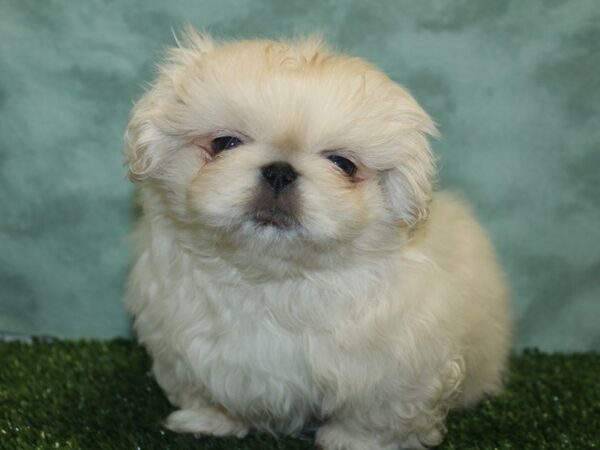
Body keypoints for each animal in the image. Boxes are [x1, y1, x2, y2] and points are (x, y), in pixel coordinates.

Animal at [125, 29, 510, 450]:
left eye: (343, 165)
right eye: (224, 143)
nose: (279, 171)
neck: (271, 281)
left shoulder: (397, 365)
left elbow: (378, 414)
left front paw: (355, 441)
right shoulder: (184, 342)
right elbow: (207, 389)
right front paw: (209, 420)